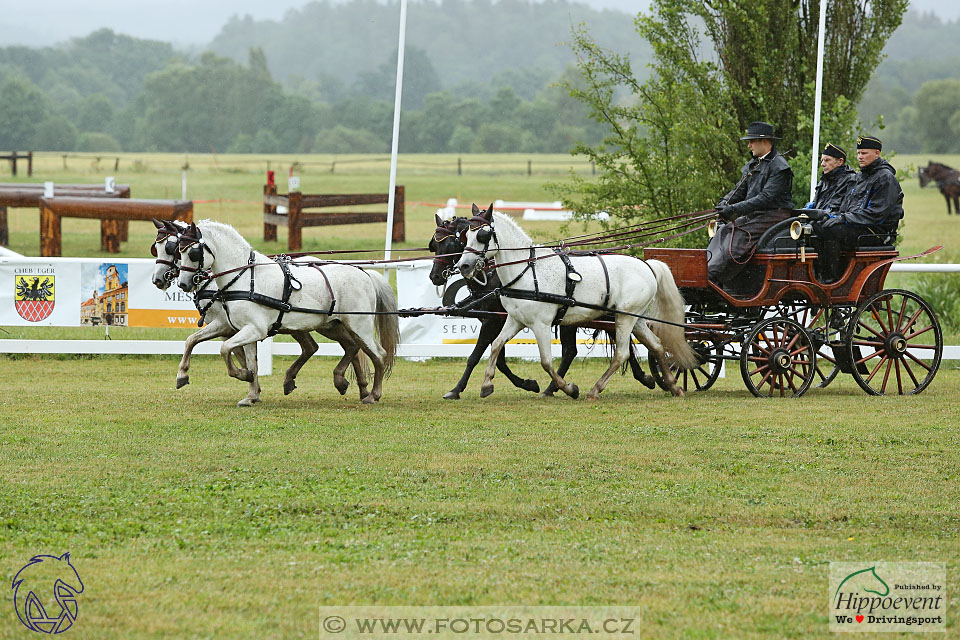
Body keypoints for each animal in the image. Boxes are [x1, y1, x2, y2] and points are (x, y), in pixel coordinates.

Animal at [174, 218, 396, 402]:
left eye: (193, 253)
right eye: (178, 251)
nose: (183, 284)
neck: (245, 278)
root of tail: (365, 273)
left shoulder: (255, 329)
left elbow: (224, 348)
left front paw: (243, 376)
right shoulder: (238, 328)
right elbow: (201, 343)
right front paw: (250, 394)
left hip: (360, 325)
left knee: (378, 354)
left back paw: (373, 395)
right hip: (332, 326)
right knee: (351, 346)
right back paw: (341, 382)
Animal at [454, 205, 692, 398]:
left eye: (483, 235)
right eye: (466, 235)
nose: (463, 266)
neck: (527, 271)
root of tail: (647, 265)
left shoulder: (541, 324)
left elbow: (546, 361)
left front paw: (569, 388)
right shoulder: (515, 319)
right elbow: (496, 346)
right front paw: (486, 384)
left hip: (624, 318)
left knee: (622, 353)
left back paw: (595, 390)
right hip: (635, 317)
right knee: (657, 345)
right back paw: (673, 386)